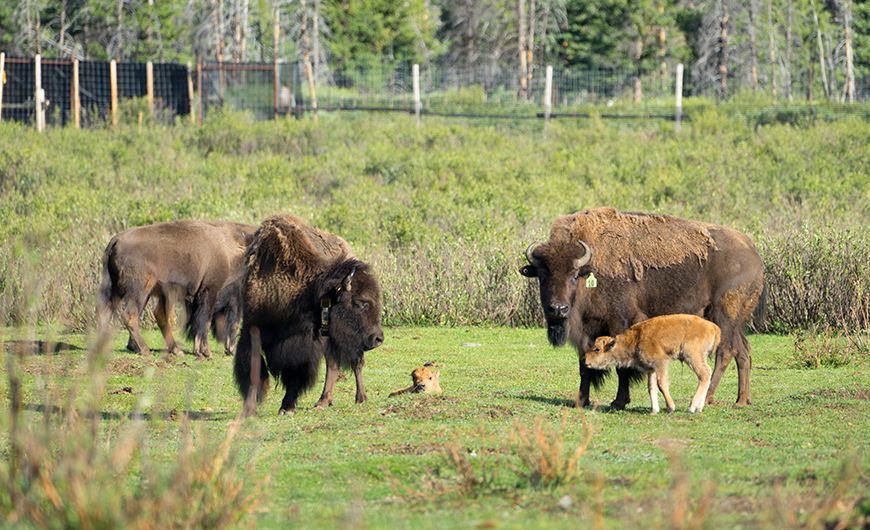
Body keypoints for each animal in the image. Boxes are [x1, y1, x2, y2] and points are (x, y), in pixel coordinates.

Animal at [97, 217, 258, 356]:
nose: (232, 350)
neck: (230, 246)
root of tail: (115, 240)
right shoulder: (210, 290)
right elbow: (204, 321)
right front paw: (206, 352)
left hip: (116, 289)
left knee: (105, 313)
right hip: (140, 290)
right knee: (130, 316)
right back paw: (146, 350)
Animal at [233, 212, 384, 414]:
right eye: (360, 302)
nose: (378, 338)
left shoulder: (303, 342)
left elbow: (295, 370)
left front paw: (287, 407)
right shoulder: (252, 330)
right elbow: (253, 369)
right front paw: (249, 409)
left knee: (354, 362)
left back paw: (359, 398)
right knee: (334, 362)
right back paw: (325, 400)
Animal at [584, 314, 724, 412]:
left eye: (597, 349)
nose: (585, 360)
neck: (635, 339)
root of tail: (713, 327)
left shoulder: (660, 363)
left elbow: (661, 384)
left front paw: (670, 408)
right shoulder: (651, 369)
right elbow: (652, 387)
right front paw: (654, 411)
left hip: (692, 357)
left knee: (704, 375)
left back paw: (691, 408)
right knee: (707, 373)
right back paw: (699, 407)